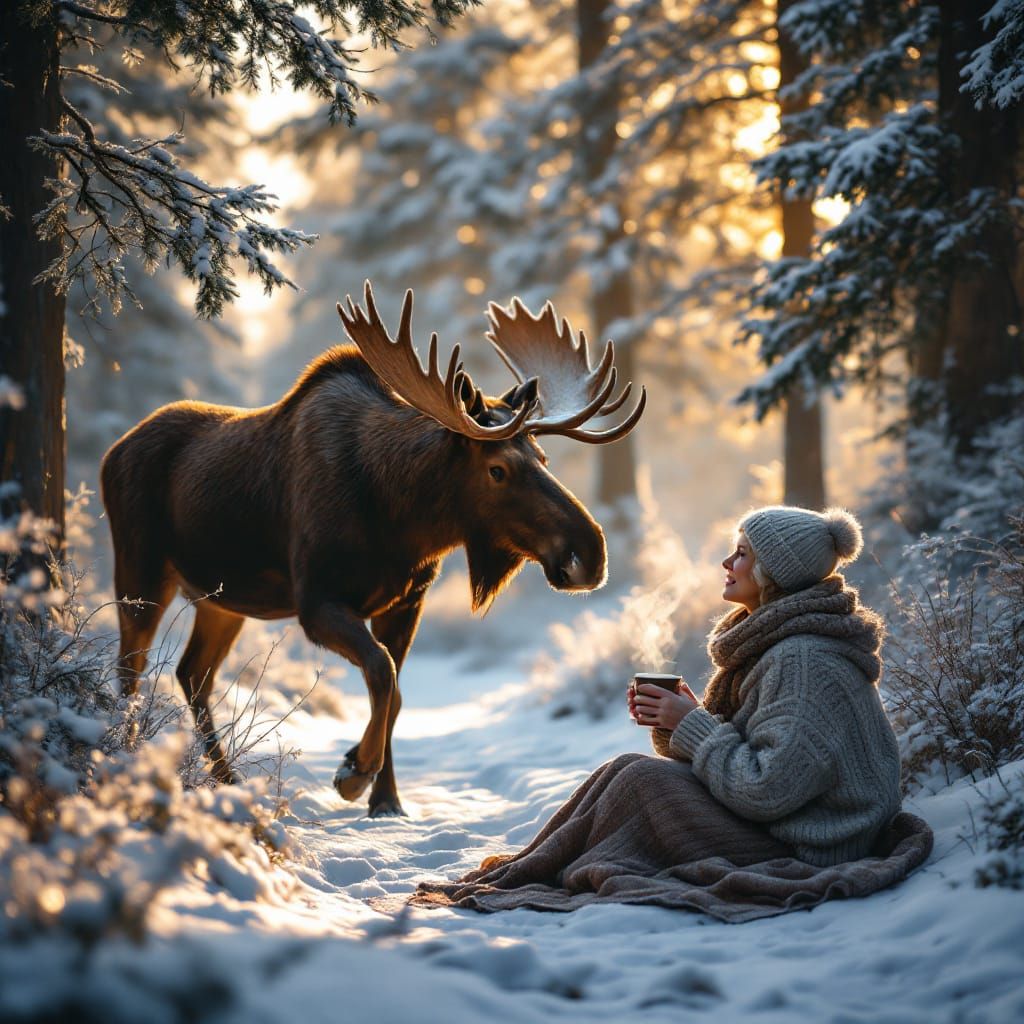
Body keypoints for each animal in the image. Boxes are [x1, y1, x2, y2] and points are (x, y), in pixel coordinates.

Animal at [100, 282, 646, 816]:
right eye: (498, 469)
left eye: (543, 457)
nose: (589, 554)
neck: (402, 523)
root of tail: (113, 452)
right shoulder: (317, 601)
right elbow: (382, 671)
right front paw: (354, 773)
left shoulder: (405, 603)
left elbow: (396, 691)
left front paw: (387, 800)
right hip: (141, 568)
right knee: (131, 666)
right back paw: (126, 759)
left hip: (221, 599)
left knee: (193, 673)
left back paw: (227, 781)